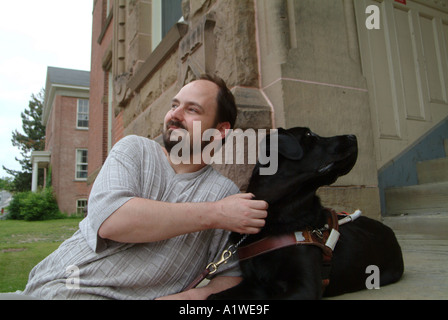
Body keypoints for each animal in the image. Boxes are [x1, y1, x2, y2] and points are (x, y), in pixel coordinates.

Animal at [208, 127, 404, 300]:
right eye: (309, 135)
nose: (353, 136)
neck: (275, 215)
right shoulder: (254, 284)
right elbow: (213, 296)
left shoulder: (305, 286)